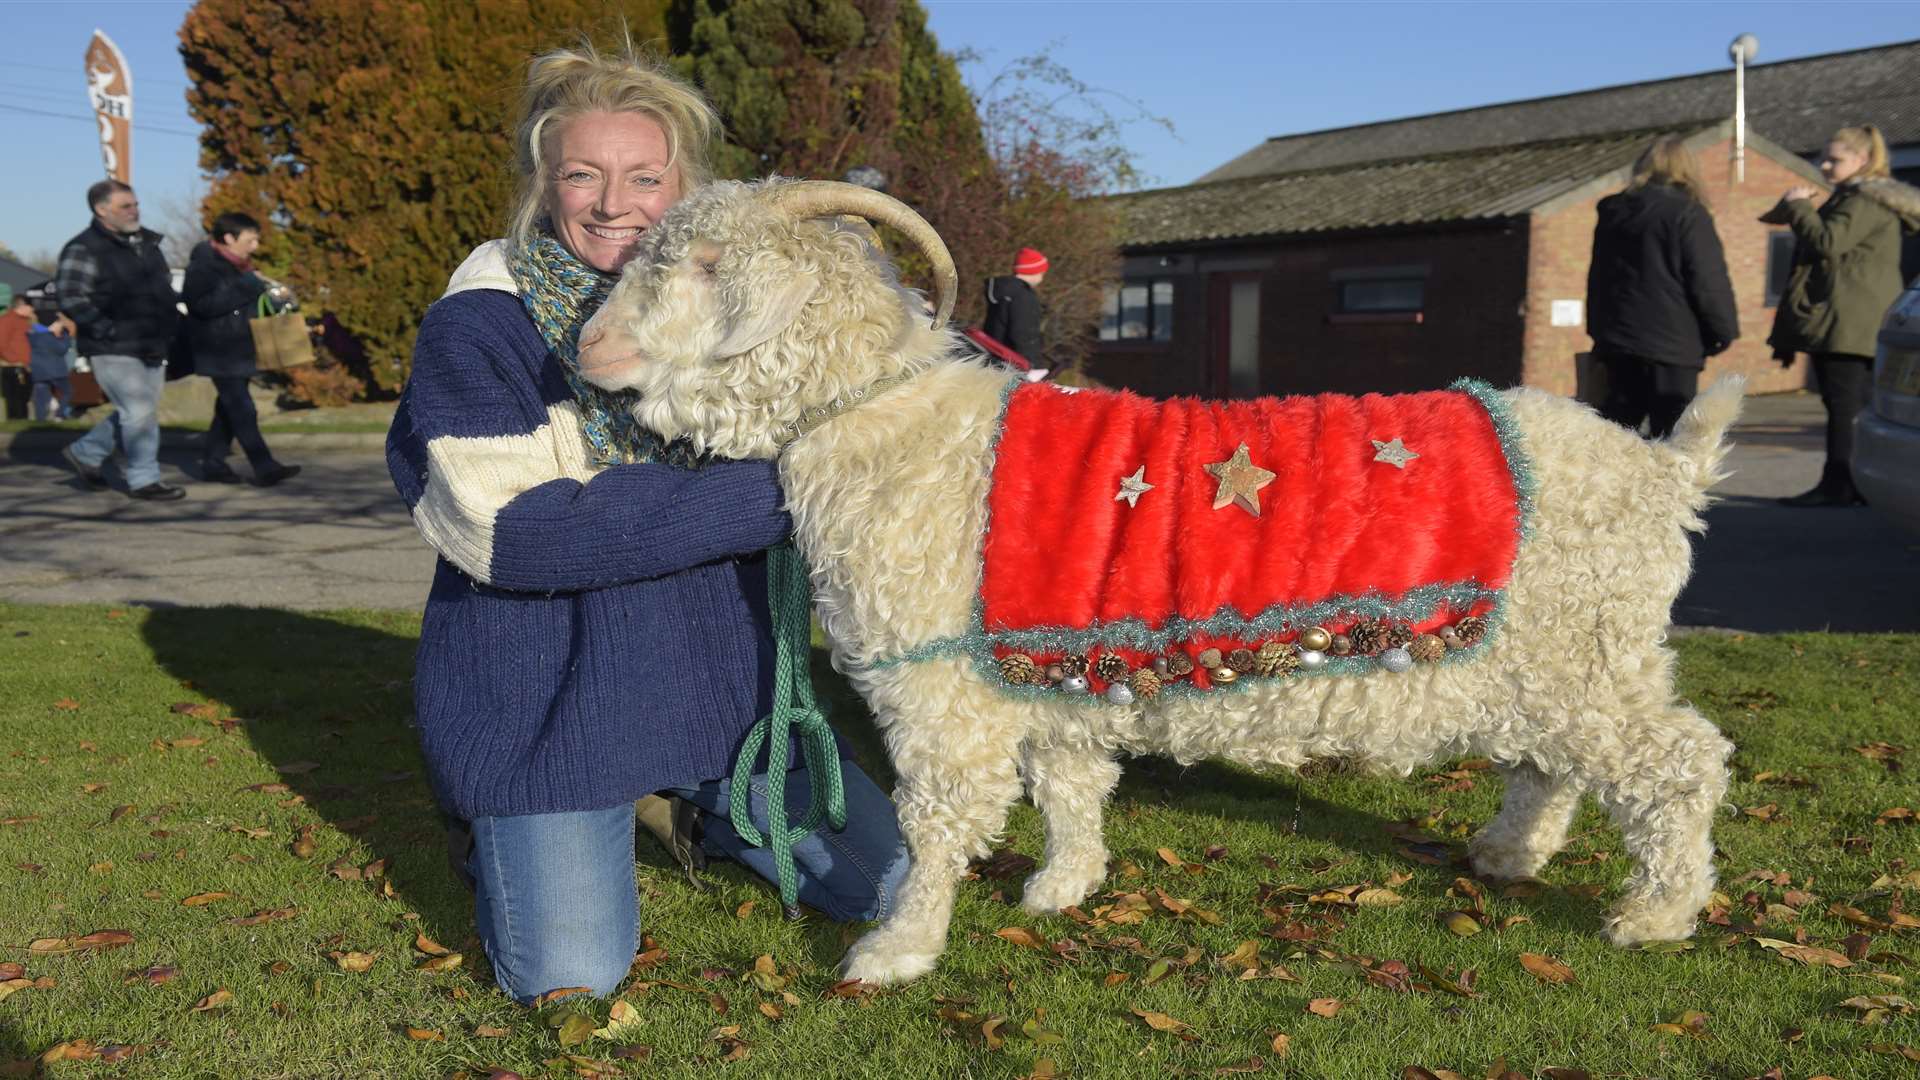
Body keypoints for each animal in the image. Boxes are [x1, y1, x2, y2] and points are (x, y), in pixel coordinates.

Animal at [568, 178, 1743, 983]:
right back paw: (1509, 851)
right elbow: (1069, 781)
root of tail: (1665, 471)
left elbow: (938, 821)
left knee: (1678, 761)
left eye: (699, 263)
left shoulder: (944, 693)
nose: (590, 345)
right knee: (1557, 764)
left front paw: (897, 949)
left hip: (1581, 646)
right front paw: (1062, 886)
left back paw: (1655, 913)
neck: (902, 433)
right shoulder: (1043, 662)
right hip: (1565, 652)